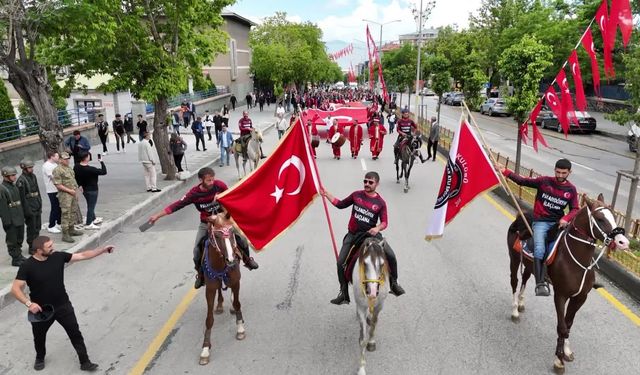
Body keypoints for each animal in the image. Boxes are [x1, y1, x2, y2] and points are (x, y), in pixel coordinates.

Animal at [198, 222, 245, 366]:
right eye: (217, 236)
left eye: (232, 232)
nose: (231, 259)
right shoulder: (210, 289)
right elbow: (209, 319)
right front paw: (205, 350)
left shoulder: (235, 280)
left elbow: (237, 303)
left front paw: (240, 329)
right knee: (220, 288)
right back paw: (219, 305)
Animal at [350, 238, 390, 375]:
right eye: (365, 263)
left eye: (382, 264)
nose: (372, 292)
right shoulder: (361, 307)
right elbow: (362, 340)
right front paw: (362, 368)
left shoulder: (380, 305)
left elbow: (373, 324)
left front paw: (371, 342)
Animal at [504, 194, 632, 374]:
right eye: (600, 219)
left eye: (614, 217)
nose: (623, 242)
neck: (577, 260)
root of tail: (520, 218)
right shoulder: (561, 295)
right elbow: (562, 327)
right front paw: (559, 360)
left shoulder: (580, 297)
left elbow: (569, 325)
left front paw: (566, 350)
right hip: (514, 259)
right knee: (514, 282)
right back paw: (515, 310)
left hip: (529, 265)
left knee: (525, 279)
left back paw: (521, 303)